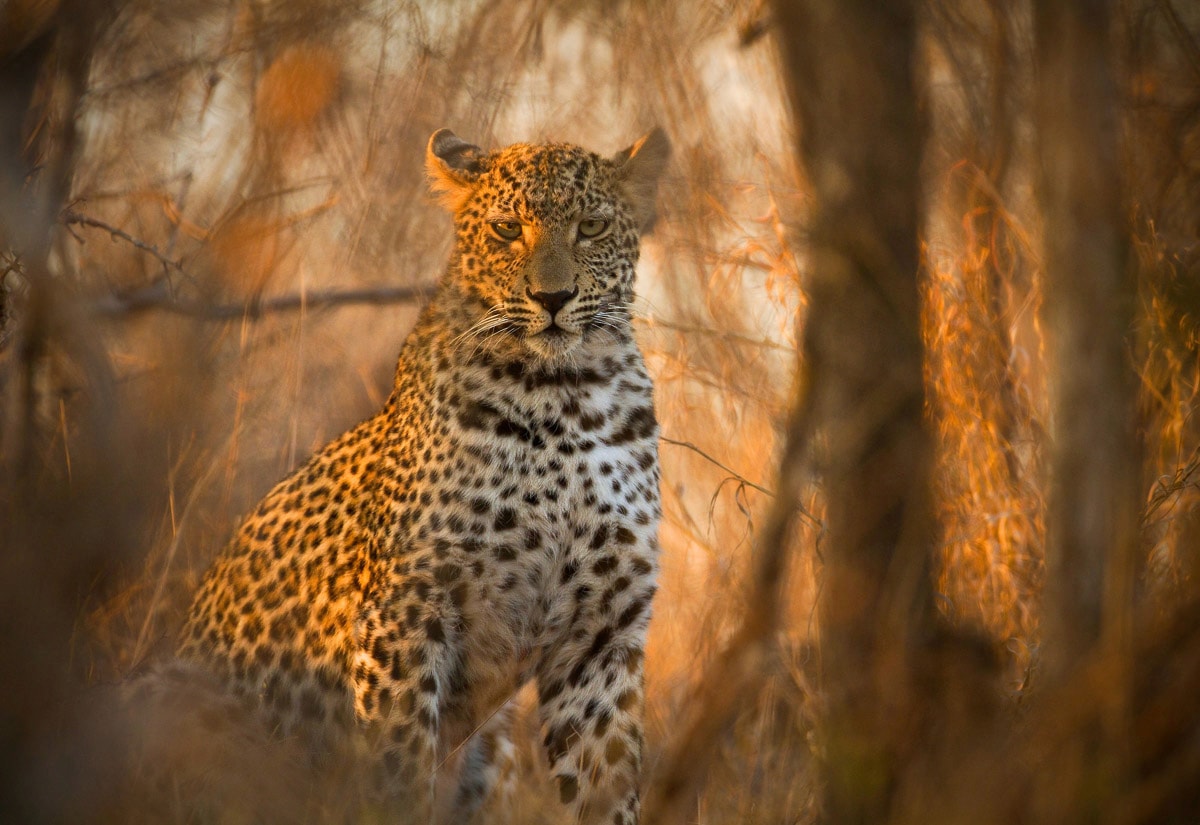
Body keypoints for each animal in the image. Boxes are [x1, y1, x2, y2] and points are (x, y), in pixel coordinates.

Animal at [175, 128, 672, 825]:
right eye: (505, 229)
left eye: (592, 227)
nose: (552, 299)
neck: (568, 400)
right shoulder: (405, 614)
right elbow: (397, 770)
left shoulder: (602, 635)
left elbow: (607, 788)